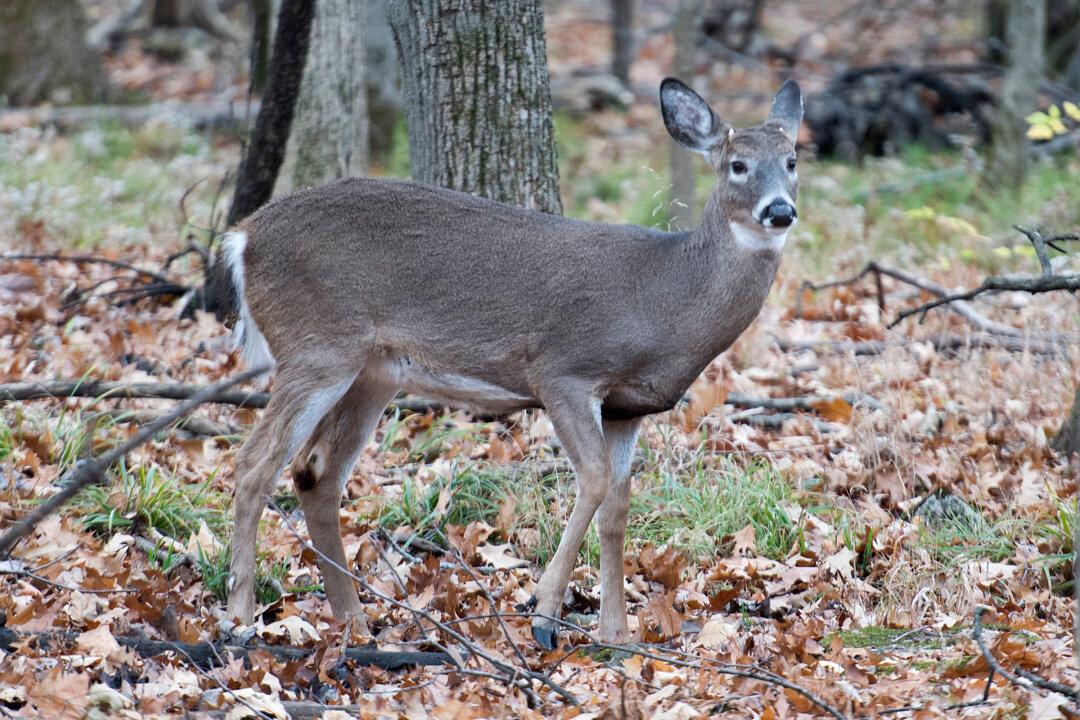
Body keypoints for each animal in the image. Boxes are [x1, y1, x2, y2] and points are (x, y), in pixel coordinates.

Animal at [217, 77, 802, 649]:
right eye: (737, 164)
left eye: (792, 160)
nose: (780, 210)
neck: (668, 299)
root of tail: (242, 237)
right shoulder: (563, 371)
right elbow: (593, 480)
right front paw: (544, 612)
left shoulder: (627, 406)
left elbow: (617, 505)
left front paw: (617, 637)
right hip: (317, 346)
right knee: (254, 464)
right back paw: (241, 617)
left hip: (373, 370)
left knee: (315, 473)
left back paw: (354, 621)